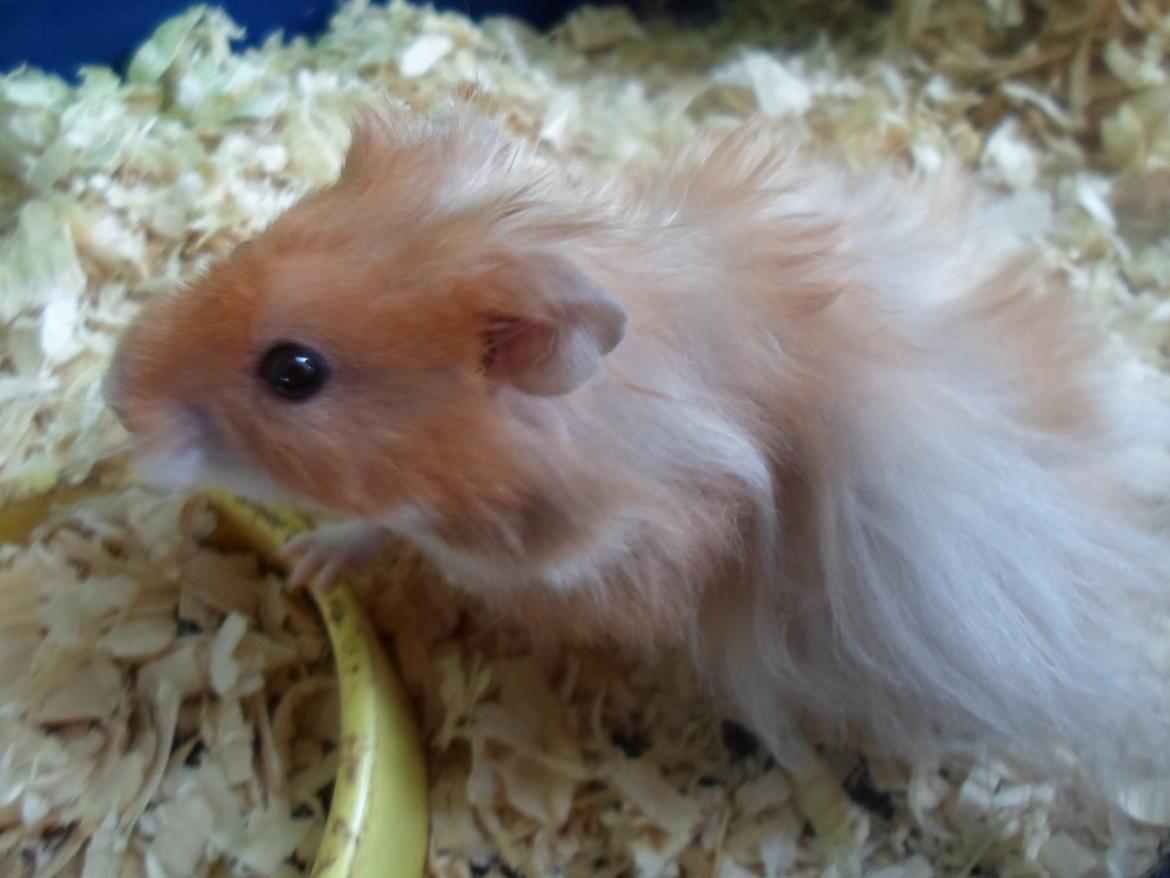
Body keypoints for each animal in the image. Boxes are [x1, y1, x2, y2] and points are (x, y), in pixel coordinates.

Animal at [106, 104, 1170, 793]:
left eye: (293, 372)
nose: (116, 399)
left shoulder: (547, 550)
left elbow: (403, 530)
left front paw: (300, 556)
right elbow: (377, 524)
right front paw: (305, 560)